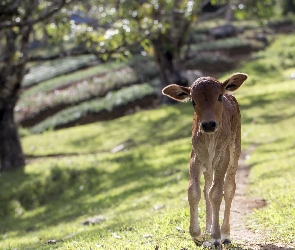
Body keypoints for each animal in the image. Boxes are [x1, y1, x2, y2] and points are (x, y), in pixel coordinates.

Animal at [163, 73, 249, 248]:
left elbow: (216, 193)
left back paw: (225, 234)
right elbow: (194, 191)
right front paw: (197, 234)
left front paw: (216, 238)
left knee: (229, 187)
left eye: (219, 96)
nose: (209, 124)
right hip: (208, 166)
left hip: (235, 152)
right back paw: (208, 230)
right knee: (206, 188)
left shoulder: (223, 158)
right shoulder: (195, 157)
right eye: (193, 101)